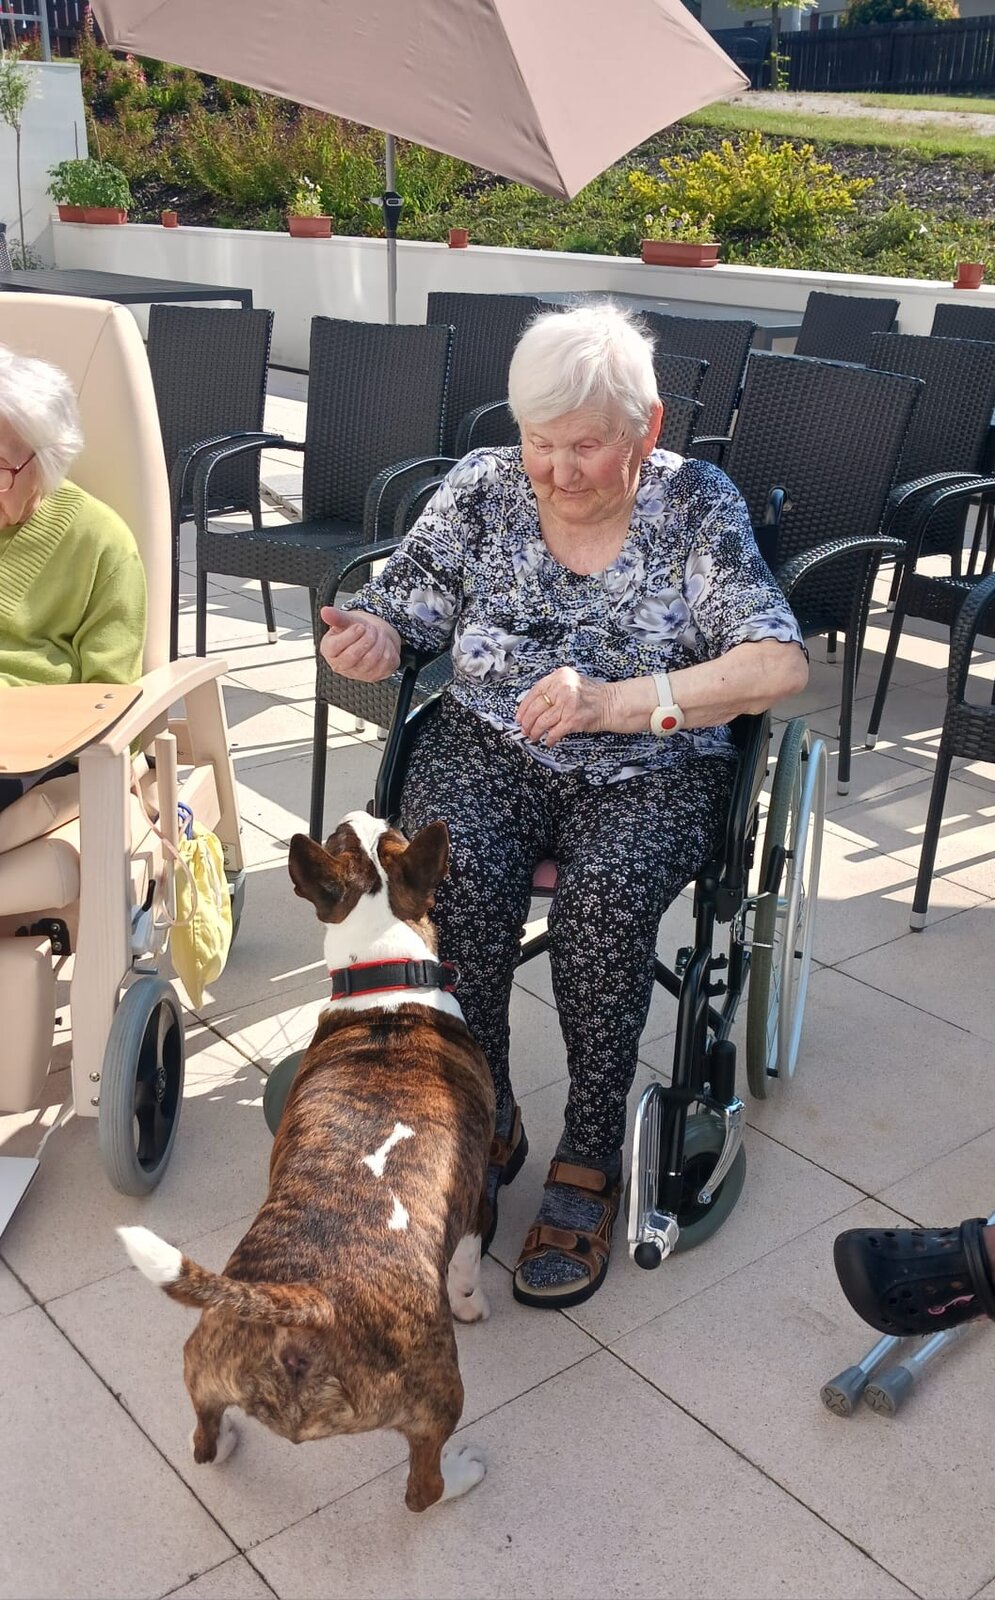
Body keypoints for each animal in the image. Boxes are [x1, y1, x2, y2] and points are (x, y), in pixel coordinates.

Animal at [119, 812, 496, 1512]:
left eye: (371, 837)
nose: (360, 813)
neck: (383, 981)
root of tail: (306, 1303)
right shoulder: (474, 1199)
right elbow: (467, 1267)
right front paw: (473, 1303)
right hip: (437, 1389)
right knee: (421, 1487)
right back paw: (459, 1475)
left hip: (203, 1356)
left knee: (204, 1437)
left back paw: (224, 1439)